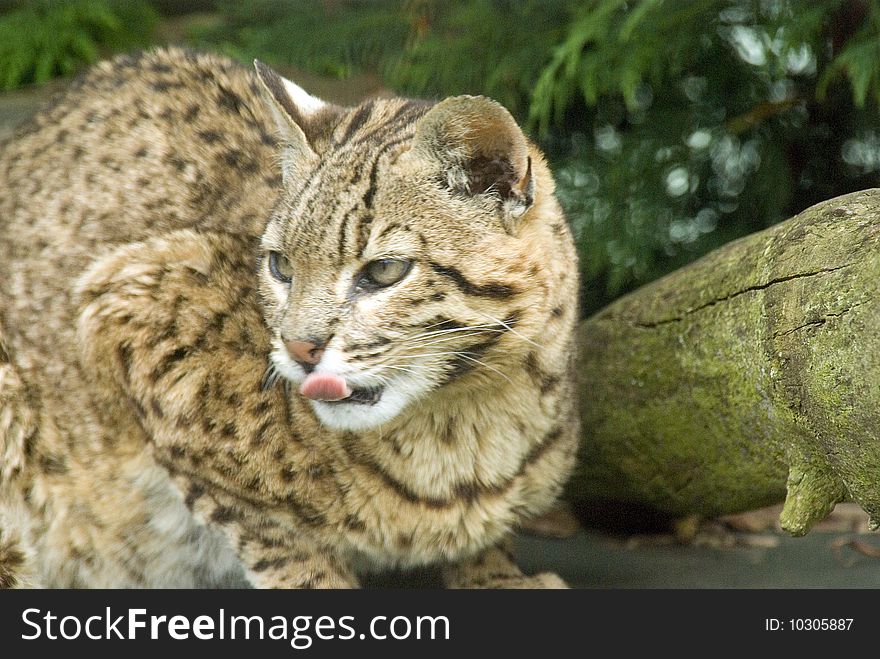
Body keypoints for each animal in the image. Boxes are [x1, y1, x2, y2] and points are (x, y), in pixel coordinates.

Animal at [0, 49, 580, 592]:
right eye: (281, 265)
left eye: (384, 271)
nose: (300, 350)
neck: (466, 411)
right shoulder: (124, 297)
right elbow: (277, 534)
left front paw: (497, 576)